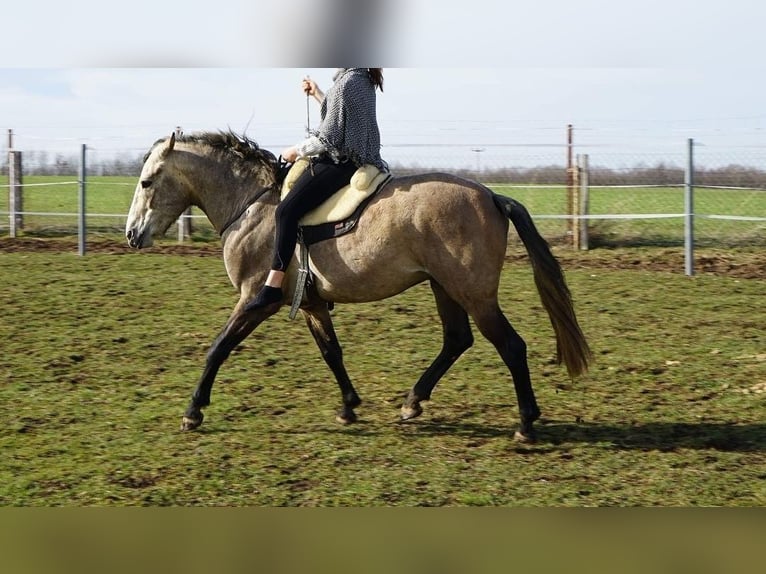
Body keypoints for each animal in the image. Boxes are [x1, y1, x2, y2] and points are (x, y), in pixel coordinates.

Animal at [126, 133, 592, 444]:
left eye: (147, 182)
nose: (131, 234)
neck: (254, 207)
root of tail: (491, 195)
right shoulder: (312, 306)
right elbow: (331, 352)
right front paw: (349, 405)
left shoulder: (255, 301)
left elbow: (217, 348)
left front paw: (193, 411)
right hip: (445, 287)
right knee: (457, 340)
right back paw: (413, 402)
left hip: (474, 294)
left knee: (510, 346)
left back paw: (526, 423)